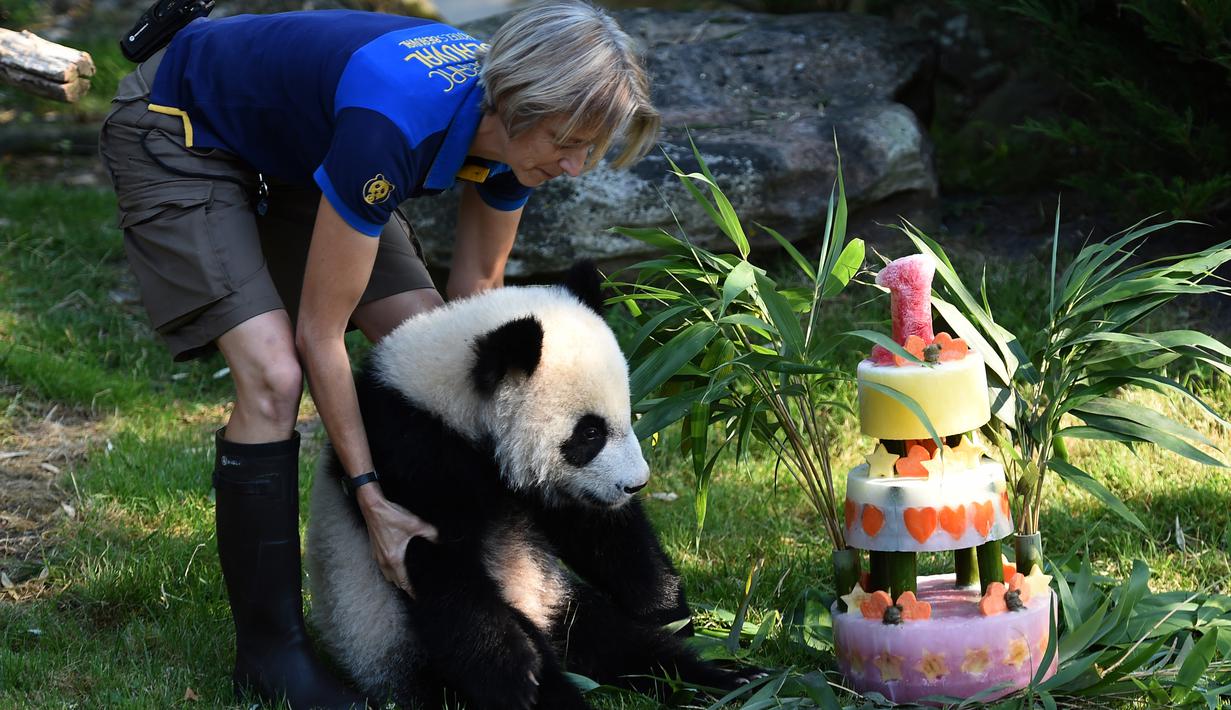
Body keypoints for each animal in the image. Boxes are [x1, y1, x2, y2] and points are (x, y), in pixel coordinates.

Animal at [305, 265, 758, 709]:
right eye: (589, 433)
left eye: (626, 416)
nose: (635, 485)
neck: (450, 406)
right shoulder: (408, 457)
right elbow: (440, 567)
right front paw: (516, 675)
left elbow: (604, 535)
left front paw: (673, 615)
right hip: (394, 639)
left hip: (559, 597)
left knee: (621, 643)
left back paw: (727, 679)